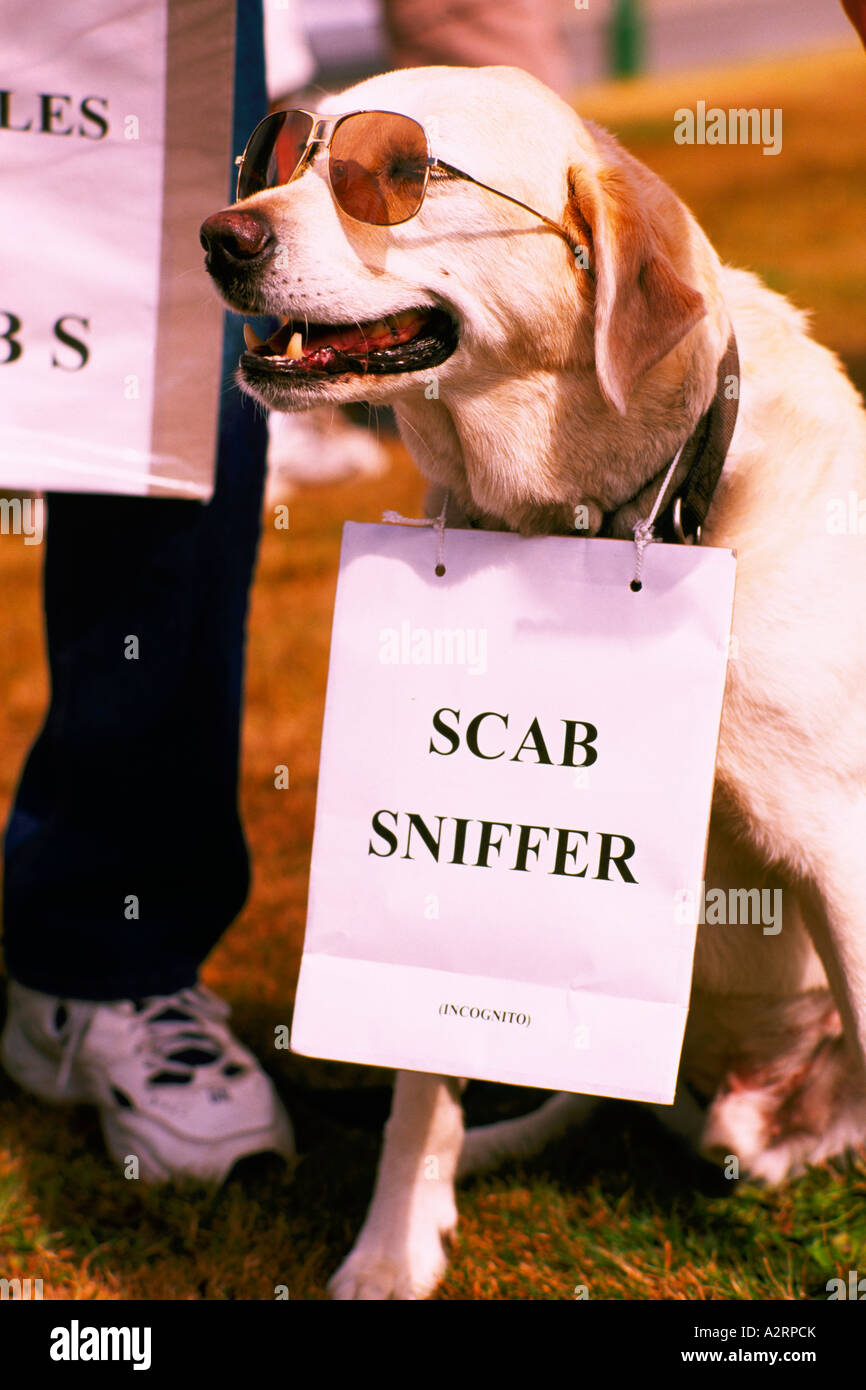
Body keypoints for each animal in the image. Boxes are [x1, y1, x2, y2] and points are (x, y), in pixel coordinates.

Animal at [200, 67, 866, 1301]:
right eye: (281, 152)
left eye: (394, 174)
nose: (222, 236)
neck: (589, 525)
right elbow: (422, 1086)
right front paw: (393, 1247)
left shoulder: (838, 850)